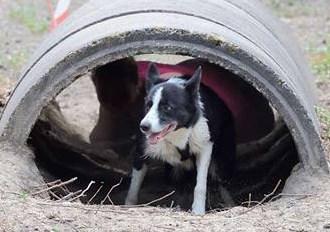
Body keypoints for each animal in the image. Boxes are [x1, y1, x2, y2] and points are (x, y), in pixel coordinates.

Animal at [125, 62, 236, 215]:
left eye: (167, 107)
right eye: (148, 105)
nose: (144, 127)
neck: (176, 134)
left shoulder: (205, 147)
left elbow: (200, 185)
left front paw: (198, 211)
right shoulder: (141, 152)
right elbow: (133, 187)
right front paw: (128, 205)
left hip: (222, 162)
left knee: (223, 184)